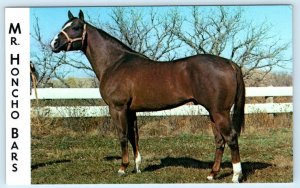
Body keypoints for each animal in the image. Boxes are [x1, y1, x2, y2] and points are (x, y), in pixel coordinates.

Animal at [50, 9, 245, 182]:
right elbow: (133, 136)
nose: (53, 44)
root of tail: (230, 63)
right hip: (212, 112)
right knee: (219, 141)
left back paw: (236, 175)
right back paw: (212, 174)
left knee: (231, 138)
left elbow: (122, 135)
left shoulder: (117, 108)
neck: (115, 63)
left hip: (220, 112)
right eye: (64, 25)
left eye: (75, 27)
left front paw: (122, 168)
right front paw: (137, 167)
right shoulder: (131, 111)